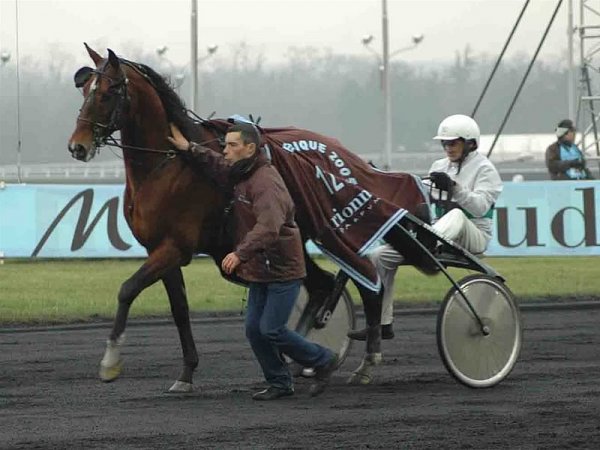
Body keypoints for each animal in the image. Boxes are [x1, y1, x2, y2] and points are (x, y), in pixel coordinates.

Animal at [69, 44, 426, 392]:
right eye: (85, 89)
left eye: (109, 92)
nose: (77, 147)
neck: (166, 166)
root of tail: (350, 156)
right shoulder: (158, 248)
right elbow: (179, 309)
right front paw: (186, 373)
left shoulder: (176, 247)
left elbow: (127, 289)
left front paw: (110, 362)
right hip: (296, 236)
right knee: (322, 285)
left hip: (331, 229)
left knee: (366, 280)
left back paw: (363, 362)